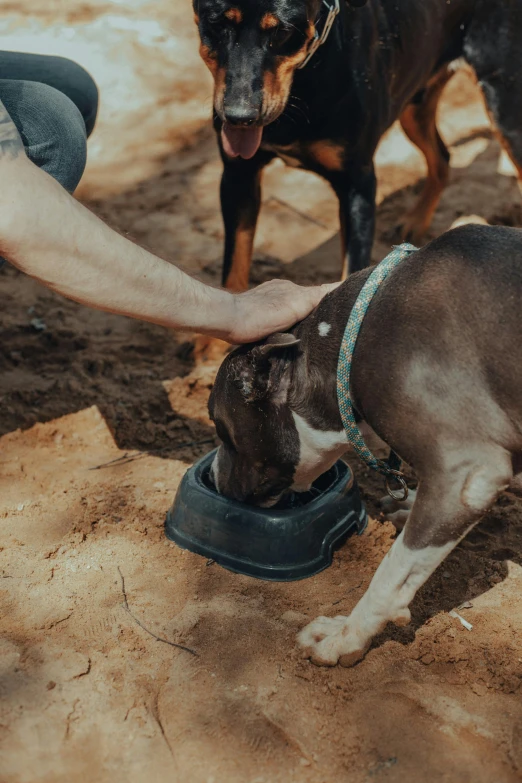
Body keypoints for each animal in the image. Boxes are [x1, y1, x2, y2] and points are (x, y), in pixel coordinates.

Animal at [193, 0, 520, 290]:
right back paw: (414, 221)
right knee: (442, 158)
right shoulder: (238, 174)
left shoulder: (358, 185)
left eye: (282, 31)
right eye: (216, 23)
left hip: (504, 111)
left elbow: (351, 271)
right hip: (415, 103)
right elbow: (234, 269)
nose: (239, 117)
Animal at [207, 225, 520, 668]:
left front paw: (346, 634)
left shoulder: (469, 474)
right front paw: (410, 503)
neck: (351, 340)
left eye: (221, 427)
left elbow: (392, 572)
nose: (213, 474)